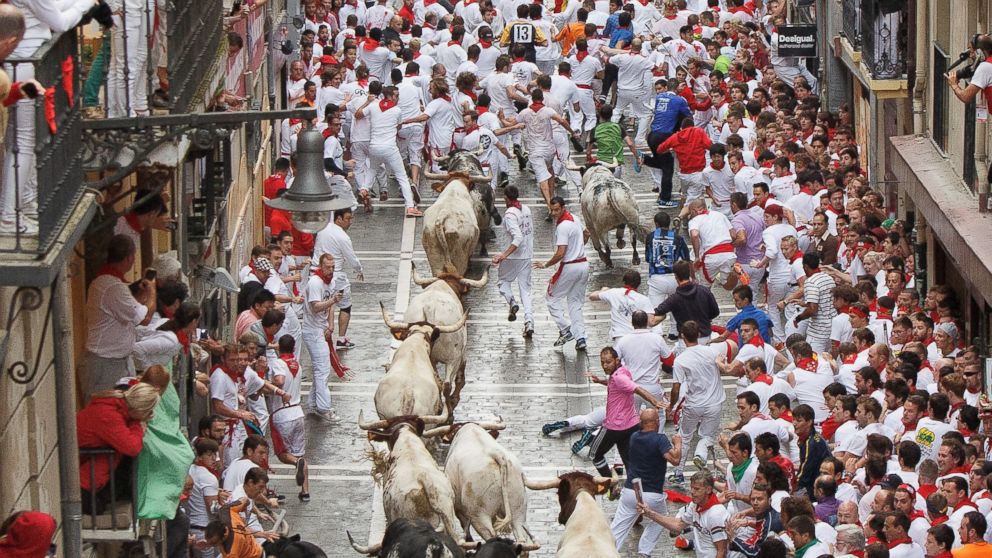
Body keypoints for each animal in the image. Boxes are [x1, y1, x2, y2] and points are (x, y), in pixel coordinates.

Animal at [406, 266, 488, 420]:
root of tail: (429, 308)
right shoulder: (461, 354)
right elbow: (460, 379)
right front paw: (454, 401)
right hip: (452, 358)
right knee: (447, 385)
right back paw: (449, 413)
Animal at [422, 424, 540, 556]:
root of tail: (497, 456)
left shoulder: (460, 510)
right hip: (518, 511)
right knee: (523, 543)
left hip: (479, 515)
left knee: (492, 537)